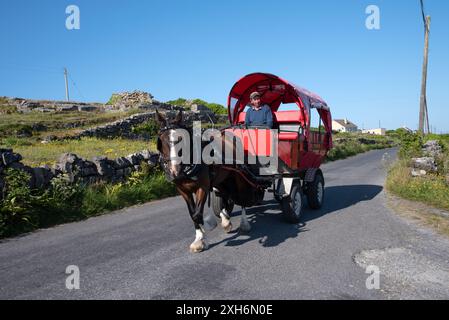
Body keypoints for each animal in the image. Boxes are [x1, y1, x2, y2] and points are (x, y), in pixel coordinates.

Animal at [156, 110, 264, 252]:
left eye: (181, 139)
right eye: (162, 140)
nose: (175, 171)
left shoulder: (203, 187)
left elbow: (198, 214)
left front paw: (202, 235)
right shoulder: (183, 190)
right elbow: (192, 214)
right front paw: (198, 237)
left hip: (238, 176)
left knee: (241, 199)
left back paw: (244, 223)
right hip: (222, 179)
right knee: (228, 196)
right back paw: (225, 219)